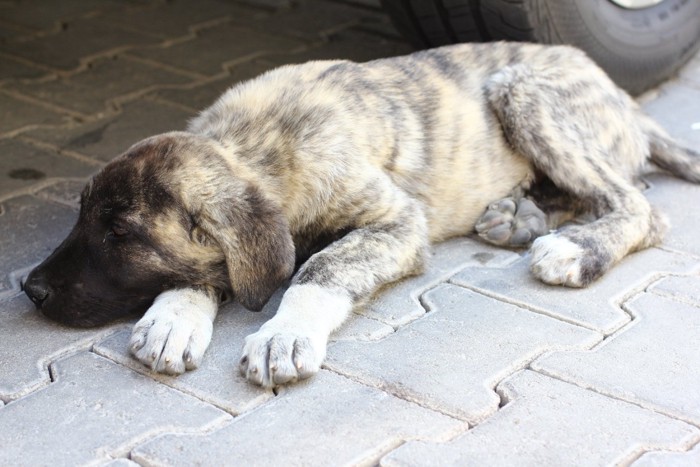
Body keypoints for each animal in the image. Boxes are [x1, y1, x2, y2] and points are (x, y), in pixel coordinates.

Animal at [23, 43, 700, 388]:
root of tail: (621, 96)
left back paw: (577, 248)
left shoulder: (396, 221)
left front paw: (284, 332)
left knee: (638, 204)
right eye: (81, 217)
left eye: (119, 234)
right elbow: (207, 270)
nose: (30, 288)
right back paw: (517, 215)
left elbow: (318, 267)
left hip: (523, 89)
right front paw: (174, 317)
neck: (258, 141)